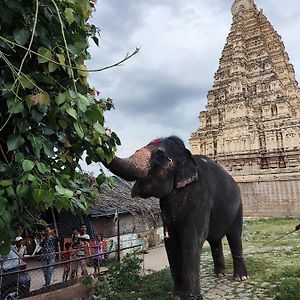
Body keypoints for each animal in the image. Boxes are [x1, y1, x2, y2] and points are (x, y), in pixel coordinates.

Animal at [105, 137, 248, 300]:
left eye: (160, 155)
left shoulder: (200, 197)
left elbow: (191, 239)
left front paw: (192, 298)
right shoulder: (165, 205)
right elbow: (170, 241)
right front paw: (178, 296)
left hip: (239, 207)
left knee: (234, 236)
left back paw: (240, 278)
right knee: (215, 240)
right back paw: (220, 275)